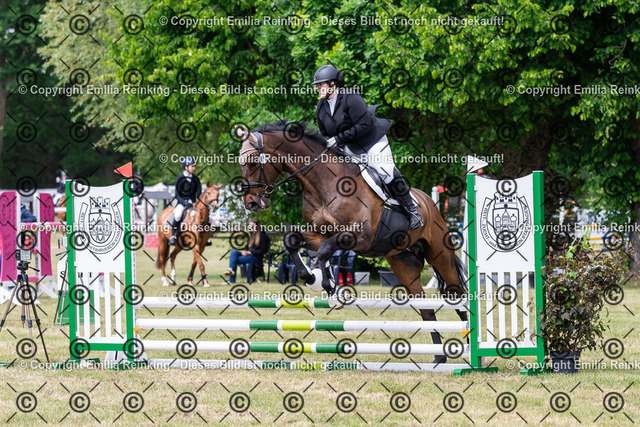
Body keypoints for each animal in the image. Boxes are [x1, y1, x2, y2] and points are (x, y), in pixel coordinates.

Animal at [236, 120, 467, 363]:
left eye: (252, 163)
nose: (251, 203)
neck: (322, 184)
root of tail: (428, 201)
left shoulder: (360, 237)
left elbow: (325, 251)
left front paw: (330, 289)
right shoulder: (320, 235)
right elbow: (294, 241)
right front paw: (312, 278)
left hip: (440, 254)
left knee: (457, 298)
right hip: (403, 261)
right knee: (426, 308)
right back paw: (439, 357)